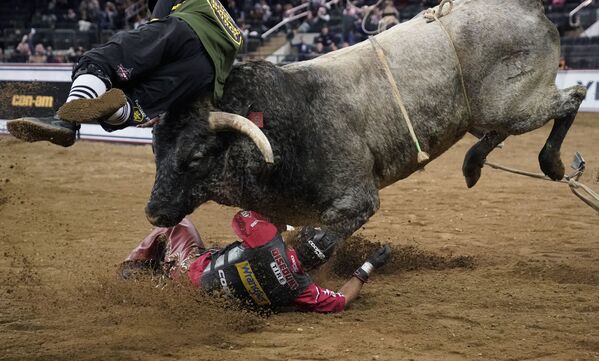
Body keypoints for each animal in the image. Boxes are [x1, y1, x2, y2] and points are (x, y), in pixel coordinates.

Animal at [144, 0, 584, 248]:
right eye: (156, 152)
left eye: (197, 156)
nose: (153, 212)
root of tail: (526, 7)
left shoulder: (356, 201)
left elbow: (311, 245)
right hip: (493, 109)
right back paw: (473, 163)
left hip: (512, 104)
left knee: (573, 96)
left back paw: (550, 163)